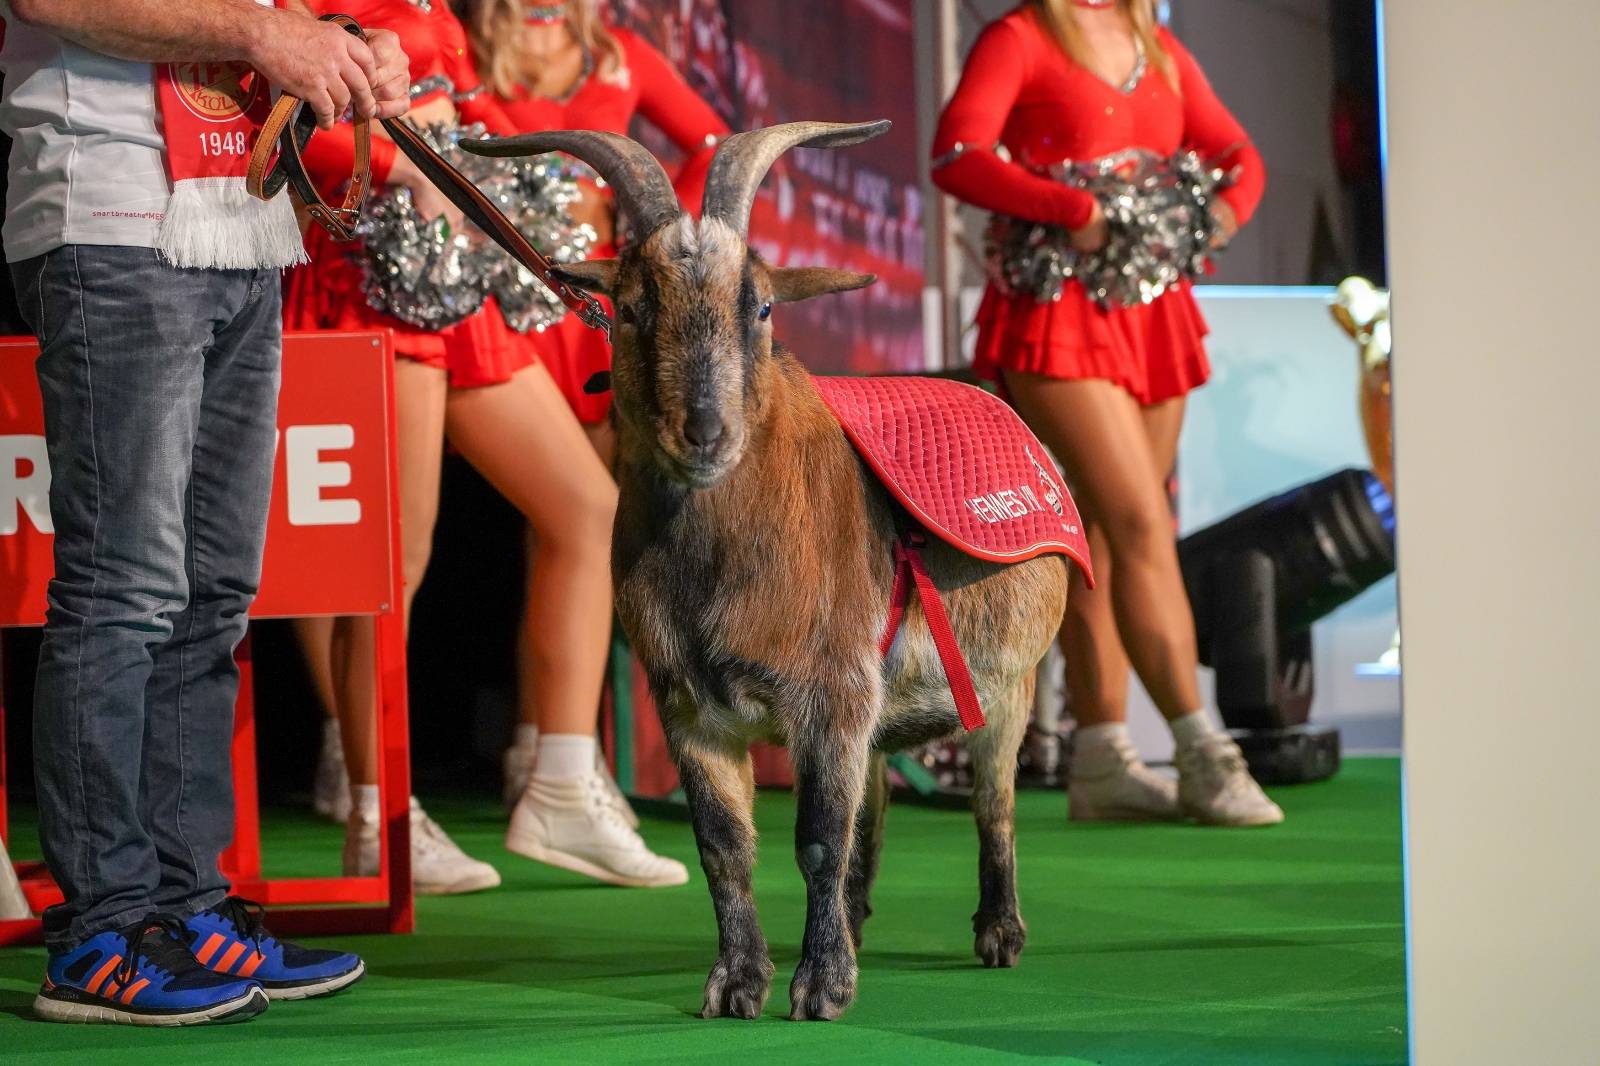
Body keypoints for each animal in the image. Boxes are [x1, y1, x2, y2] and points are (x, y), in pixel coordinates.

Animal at [467, 120, 1068, 1017]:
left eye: (762, 306)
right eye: (632, 308)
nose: (706, 434)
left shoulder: (829, 695)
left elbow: (817, 838)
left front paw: (820, 986)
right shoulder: (692, 708)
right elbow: (725, 846)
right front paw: (737, 982)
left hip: (1006, 683)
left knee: (993, 803)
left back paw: (999, 932)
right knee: (874, 805)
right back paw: (857, 922)